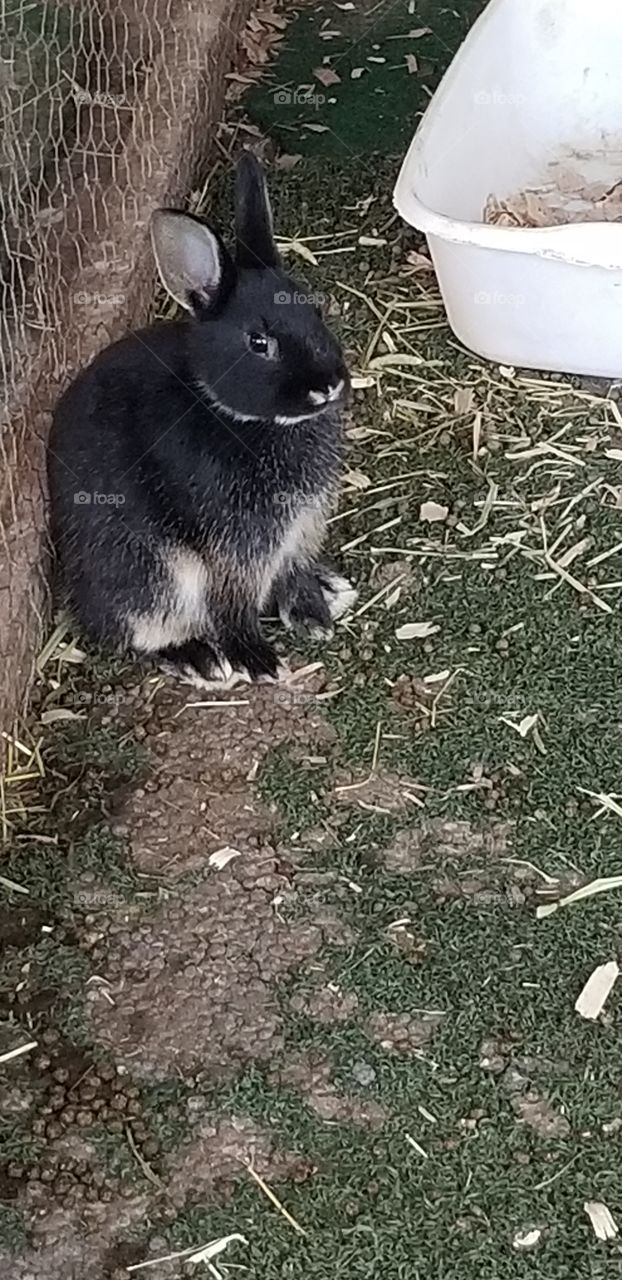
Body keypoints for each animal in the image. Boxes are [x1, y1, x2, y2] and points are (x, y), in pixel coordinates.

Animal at [46, 152, 357, 688]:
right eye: (259, 342)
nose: (328, 386)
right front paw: (257, 659)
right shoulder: (234, 547)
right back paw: (200, 657)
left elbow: (290, 570)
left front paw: (312, 612)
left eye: (315, 310)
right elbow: (231, 604)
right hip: (148, 570)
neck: (245, 418)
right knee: (140, 627)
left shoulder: (297, 528)